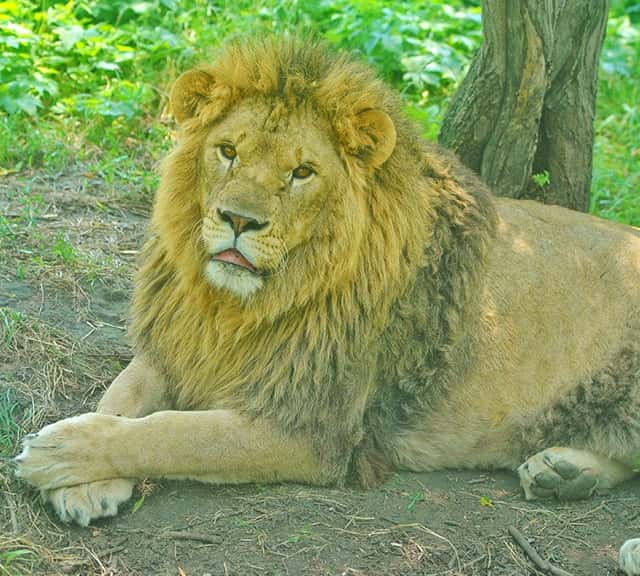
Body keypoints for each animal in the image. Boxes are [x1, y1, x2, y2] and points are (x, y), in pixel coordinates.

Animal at [13, 36, 640, 572]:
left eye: (302, 172)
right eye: (227, 151)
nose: (237, 220)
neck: (234, 309)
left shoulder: (312, 424)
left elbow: (174, 433)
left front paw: (58, 452)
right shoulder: (176, 349)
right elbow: (121, 398)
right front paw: (88, 484)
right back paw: (563, 473)